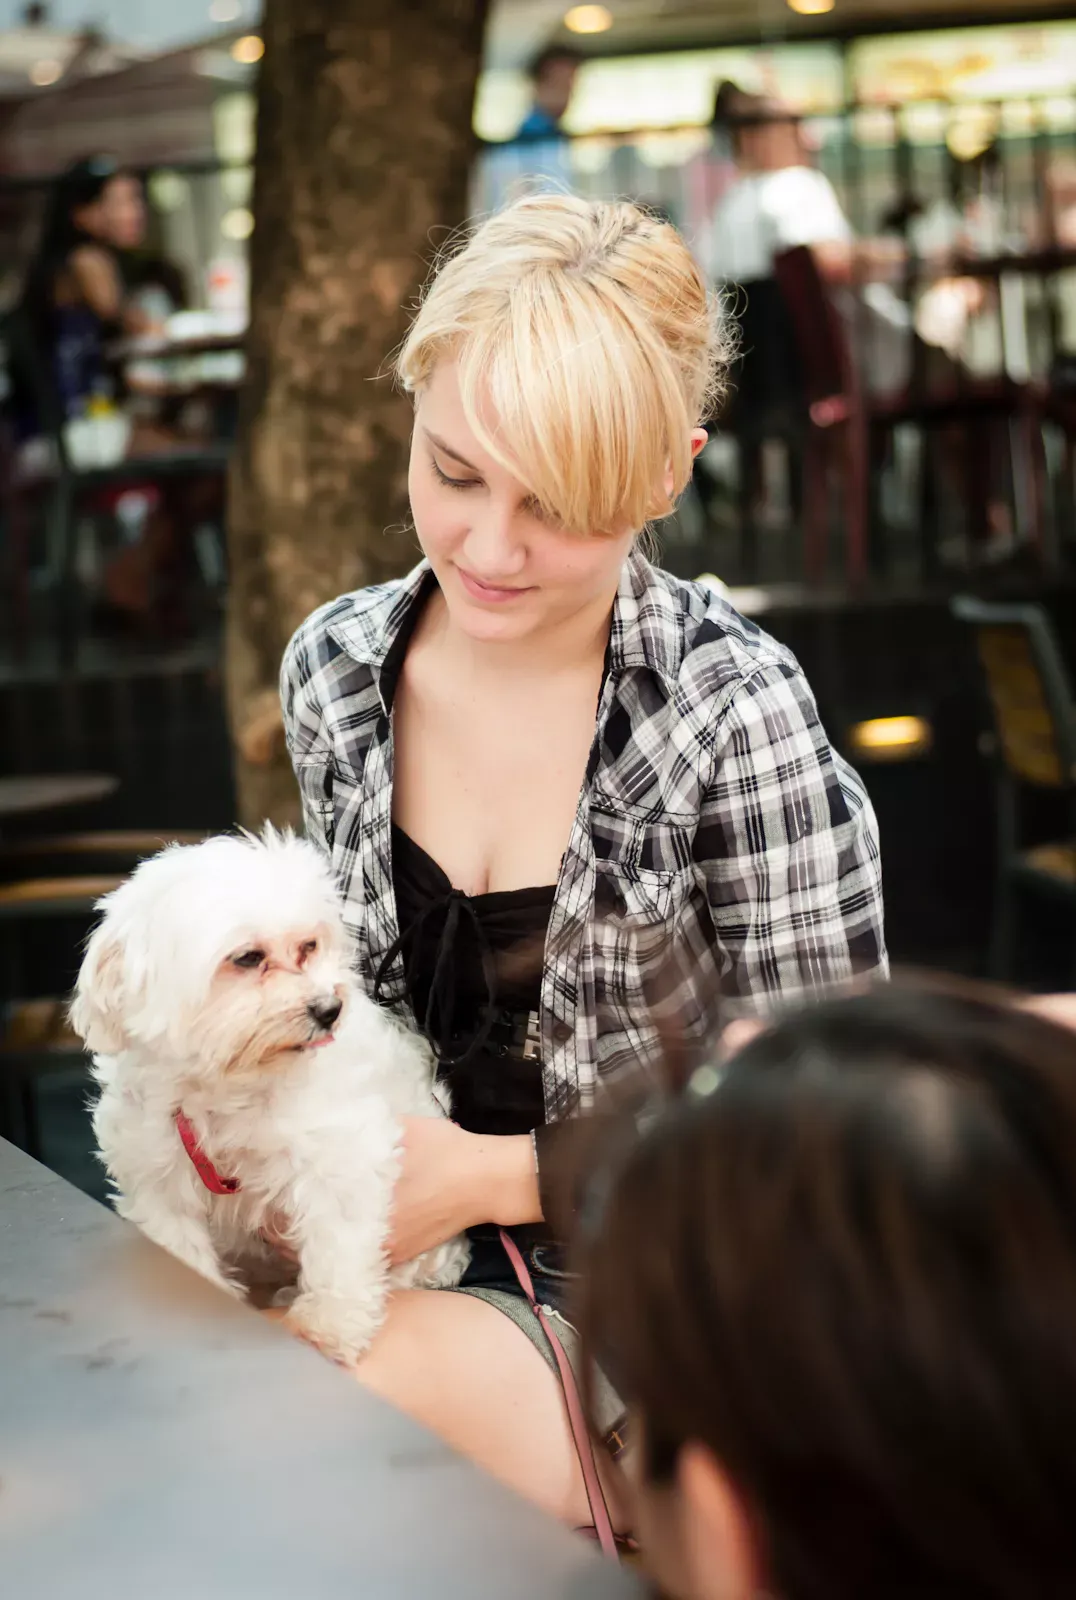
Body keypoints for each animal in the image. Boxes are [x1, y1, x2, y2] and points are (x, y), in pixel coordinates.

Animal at [68, 825, 467, 1363]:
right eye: (248, 958)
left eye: (308, 946)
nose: (328, 1009)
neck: (228, 1080)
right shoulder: (157, 1176)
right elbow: (181, 1244)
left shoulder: (339, 1156)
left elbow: (338, 1243)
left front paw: (328, 1325)